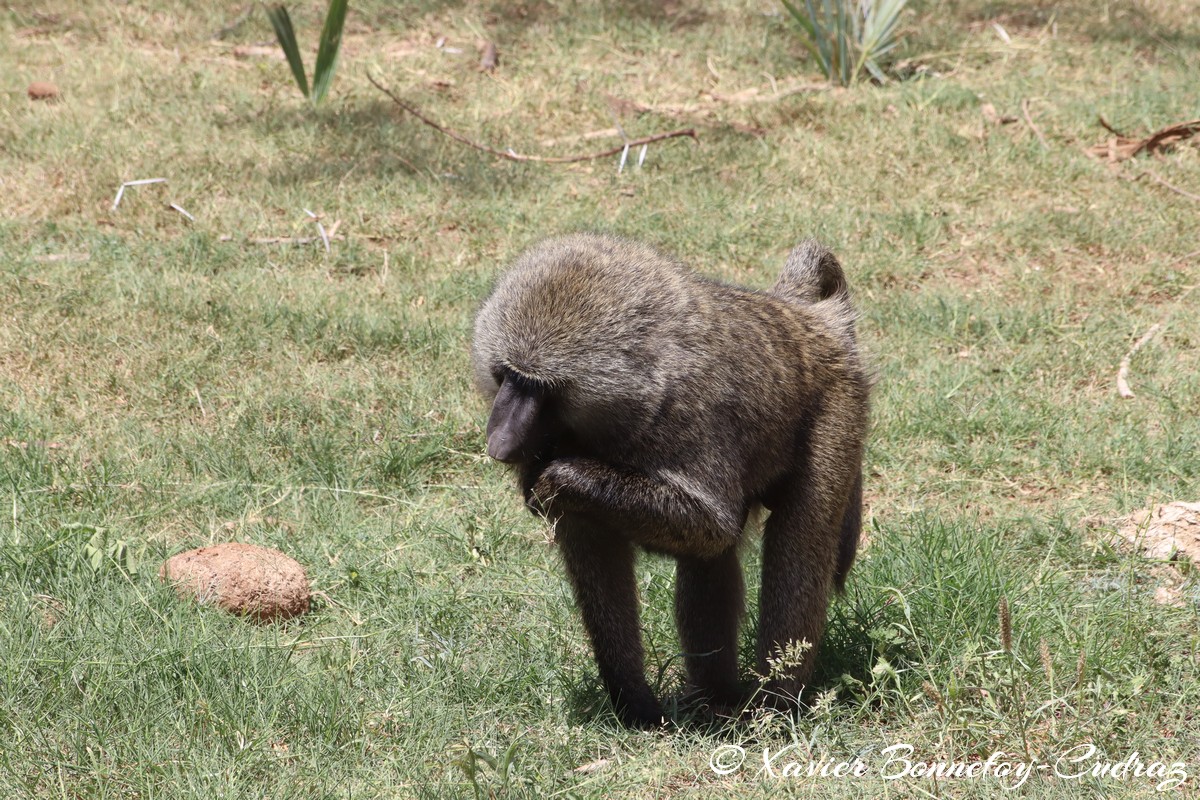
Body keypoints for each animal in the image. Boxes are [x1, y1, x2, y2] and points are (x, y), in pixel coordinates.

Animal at [471, 233, 869, 728]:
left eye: (540, 387)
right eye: (508, 375)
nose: (500, 442)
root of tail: (807, 317)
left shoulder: (689, 416)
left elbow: (711, 525)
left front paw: (565, 475)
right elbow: (605, 547)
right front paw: (635, 704)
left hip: (838, 405)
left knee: (797, 544)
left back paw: (774, 709)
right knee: (711, 563)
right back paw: (716, 699)